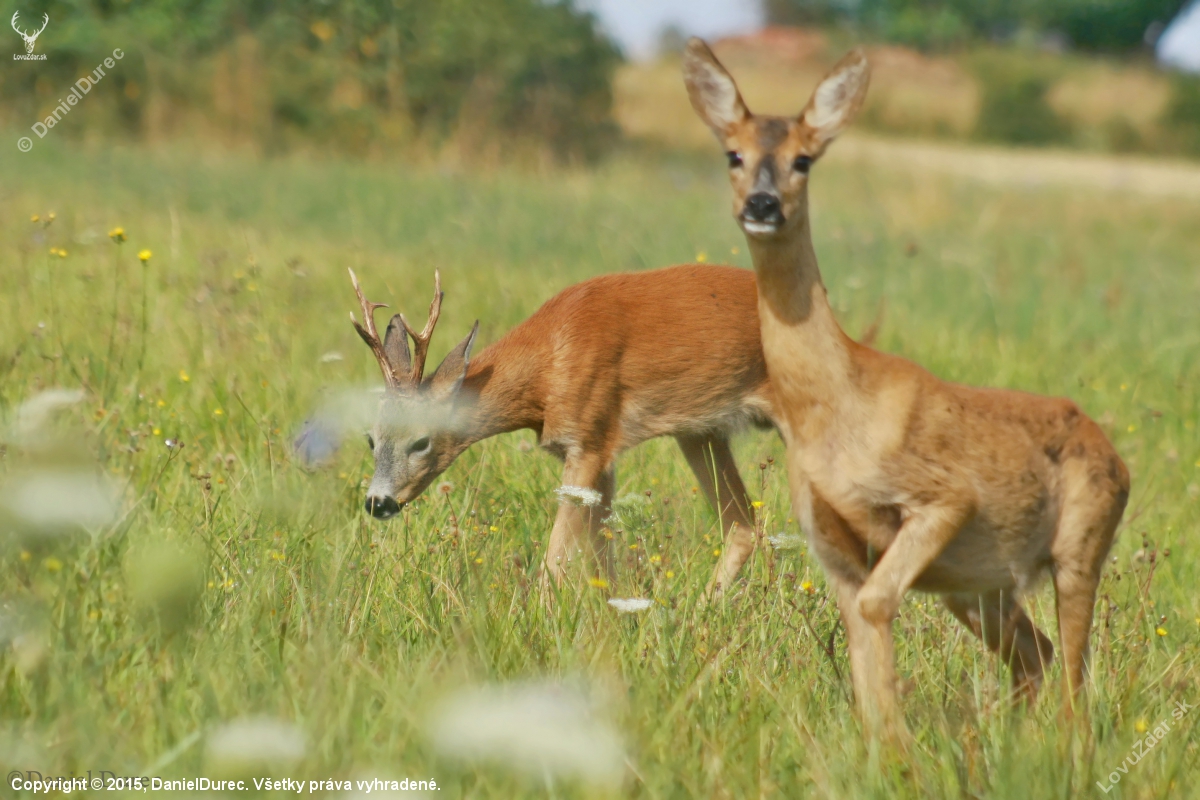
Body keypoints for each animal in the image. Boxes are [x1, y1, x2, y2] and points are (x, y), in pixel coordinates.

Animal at [309, 265, 781, 592]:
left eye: (421, 441)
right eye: (371, 438)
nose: (377, 502)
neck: (547, 369)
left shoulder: (589, 438)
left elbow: (556, 559)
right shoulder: (598, 454)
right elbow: (601, 556)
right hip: (700, 431)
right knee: (743, 524)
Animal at [683, 38, 1129, 743]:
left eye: (804, 157)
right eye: (733, 152)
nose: (762, 205)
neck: (835, 406)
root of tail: (1117, 456)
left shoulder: (942, 498)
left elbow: (877, 608)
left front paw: (897, 749)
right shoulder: (833, 545)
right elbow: (862, 640)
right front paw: (881, 748)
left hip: (1080, 547)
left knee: (1073, 678)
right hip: (980, 586)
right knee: (1037, 656)